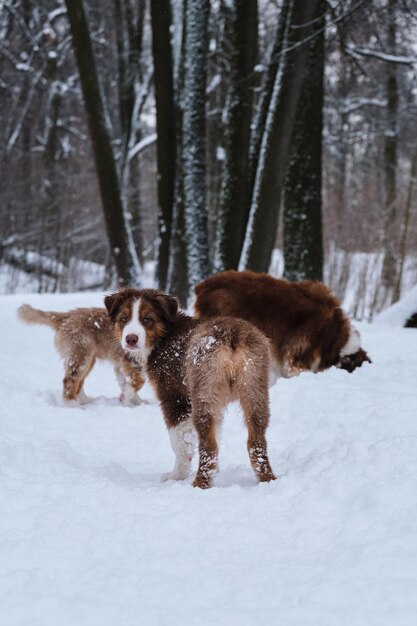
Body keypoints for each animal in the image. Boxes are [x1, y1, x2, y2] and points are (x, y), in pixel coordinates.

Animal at [17, 304, 145, 404]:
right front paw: (126, 398)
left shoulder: (122, 364)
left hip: (89, 358)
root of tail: (66, 316)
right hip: (81, 355)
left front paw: (135, 402)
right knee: (69, 380)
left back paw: (84, 401)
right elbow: (138, 382)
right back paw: (73, 405)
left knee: (79, 381)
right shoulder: (129, 360)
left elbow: (127, 381)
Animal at [103, 288, 274, 488]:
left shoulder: (175, 397)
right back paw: (267, 479)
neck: (164, 336)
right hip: (255, 389)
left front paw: (176, 476)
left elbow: (180, 442)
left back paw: (200, 483)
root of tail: (231, 335)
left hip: (204, 392)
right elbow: (216, 433)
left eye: (148, 319)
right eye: (123, 318)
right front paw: (217, 472)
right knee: (256, 442)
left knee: (208, 446)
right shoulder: (216, 405)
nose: (131, 339)